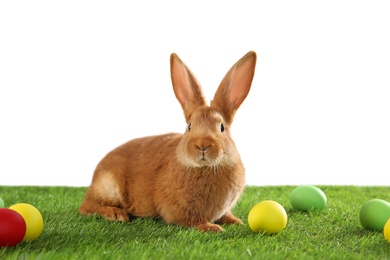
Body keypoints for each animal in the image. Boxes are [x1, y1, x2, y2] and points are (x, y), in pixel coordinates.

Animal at [78, 50, 256, 232]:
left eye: (222, 127)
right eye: (189, 126)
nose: (202, 145)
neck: (205, 167)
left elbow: (226, 215)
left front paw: (237, 222)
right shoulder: (180, 211)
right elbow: (192, 220)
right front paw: (212, 228)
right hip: (109, 187)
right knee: (87, 207)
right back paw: (116, 214)